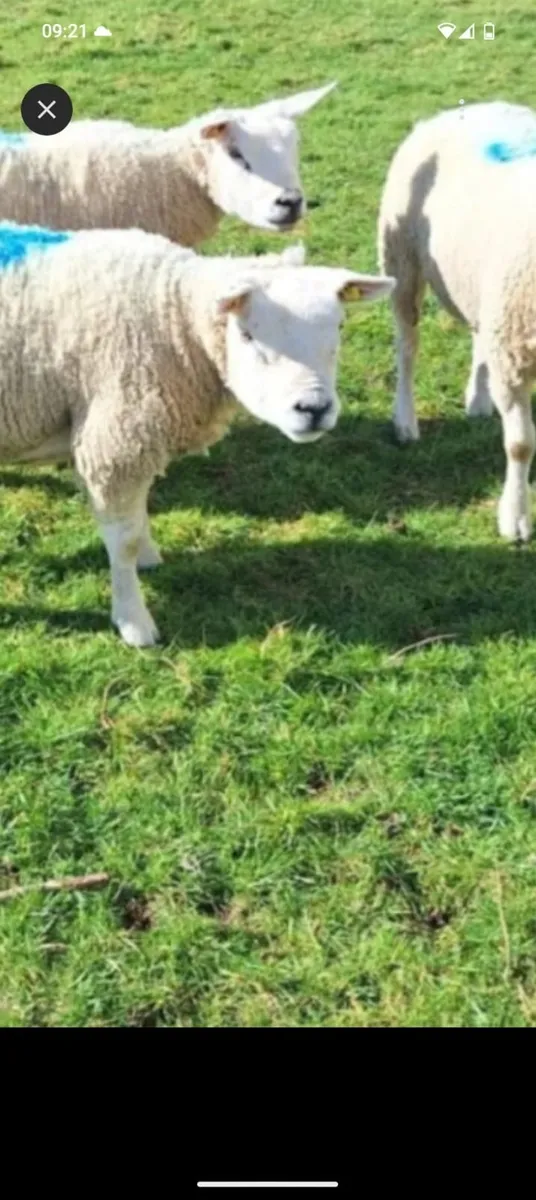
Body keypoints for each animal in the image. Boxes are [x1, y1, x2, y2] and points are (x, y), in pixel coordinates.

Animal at [0, 222, 394, 646]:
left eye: (339, 326)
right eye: (247, 335)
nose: (314, 409)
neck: (172, 314)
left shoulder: (132, 438)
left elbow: (138, 518)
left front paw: (148, 556)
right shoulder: (115, 441)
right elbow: (122, 543)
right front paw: (134, 622)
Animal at [378, 99, 536, 541]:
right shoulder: (515, 357)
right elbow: (521, 444)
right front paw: (515, 516)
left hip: (485, 291)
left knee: (479, 337)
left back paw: (479, 398)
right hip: (402, 260)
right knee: (407, 347)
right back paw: (405, 420)